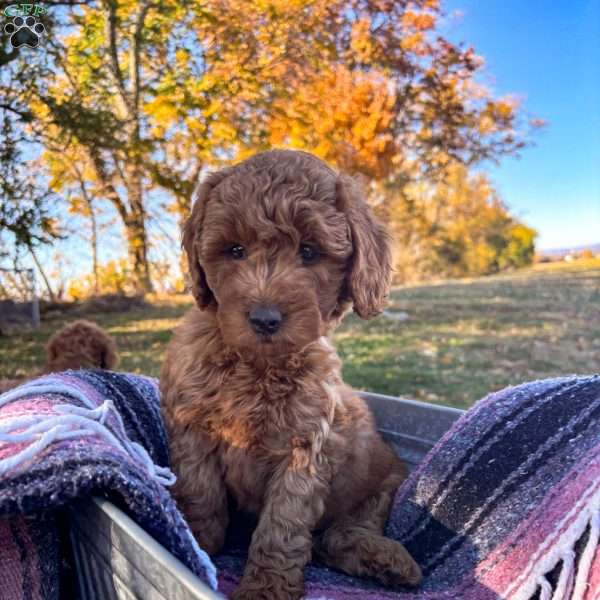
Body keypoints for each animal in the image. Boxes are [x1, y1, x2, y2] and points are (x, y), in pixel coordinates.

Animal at [161, 150, 422, 600]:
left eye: (310, 252)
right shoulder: (192, 427)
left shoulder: (305, 447)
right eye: (235, 250)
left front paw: (265, 588)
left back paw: (386, 559)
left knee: (338, 534)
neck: (257, 364)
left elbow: (282, 526)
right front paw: (195, 549)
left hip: (382, 485)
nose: (265, 318)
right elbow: (200, 495)